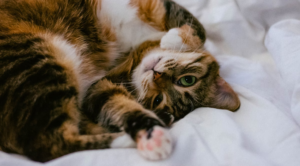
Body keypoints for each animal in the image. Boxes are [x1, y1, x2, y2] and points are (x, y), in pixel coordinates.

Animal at [0, 0, 240, 162]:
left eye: (157, 100)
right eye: (187, 80)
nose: (157, 75)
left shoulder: (100, 86)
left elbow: (119, 105)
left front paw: (150, 135)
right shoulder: (158, 6)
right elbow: (199, 27)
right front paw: (175, 39)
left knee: (50, 144)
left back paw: (145, 132)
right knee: (48, 144)